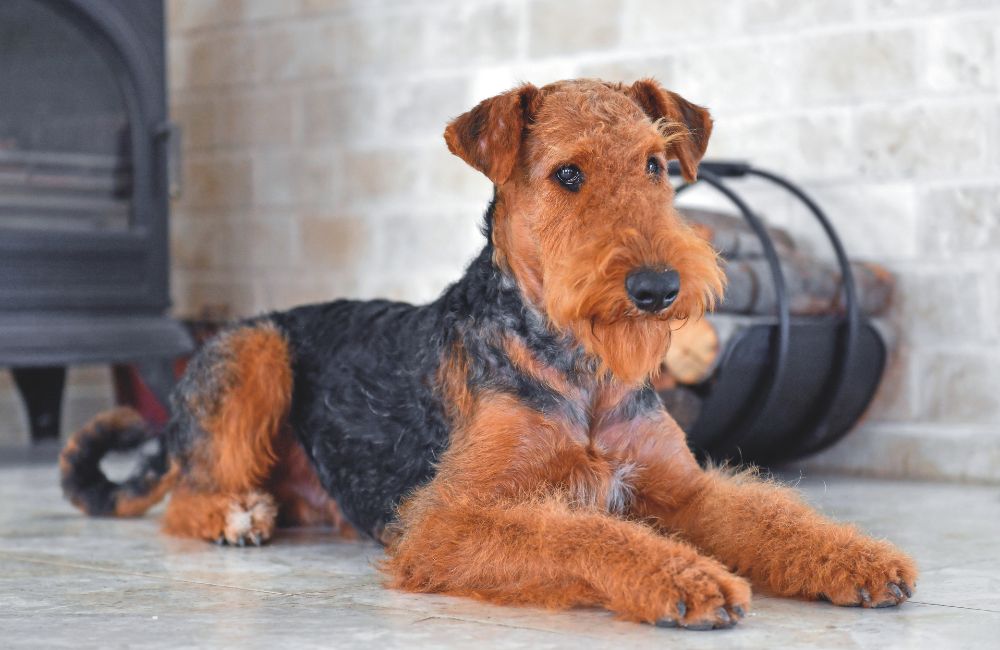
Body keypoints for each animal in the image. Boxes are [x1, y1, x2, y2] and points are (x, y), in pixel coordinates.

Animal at [62, 77, 916, 628]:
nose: (657, 287)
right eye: (567, 172)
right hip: (257, 352)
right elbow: (578, 531)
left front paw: (863, 561)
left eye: (656, 164)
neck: (579, 367)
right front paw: (690, 576)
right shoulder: (449, 518)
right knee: (189, 495)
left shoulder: (681, 489)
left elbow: (769, 514)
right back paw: (238, 515)